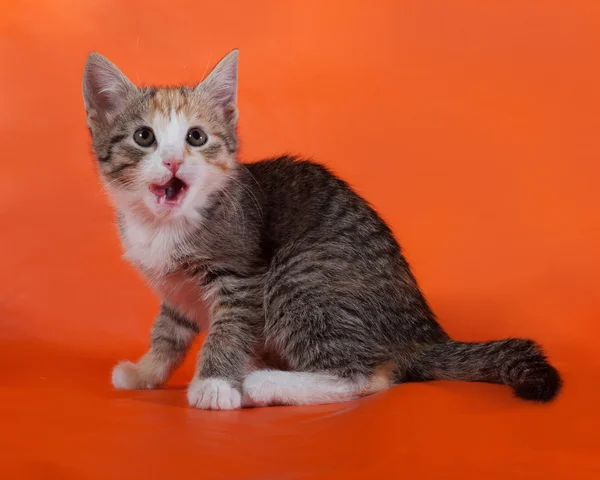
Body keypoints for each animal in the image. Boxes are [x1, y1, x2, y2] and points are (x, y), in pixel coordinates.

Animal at [83, 49, 564, 408]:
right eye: (144, 137)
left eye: (196, 137)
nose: (172, 162)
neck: (163, 225)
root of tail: (423, 334)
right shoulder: (177, 292)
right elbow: (168, 332)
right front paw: (145, 372)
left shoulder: (241, 275)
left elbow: (228, 329)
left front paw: (215, 384)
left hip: (301, 275)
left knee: (365, 376)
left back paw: (265, 383)